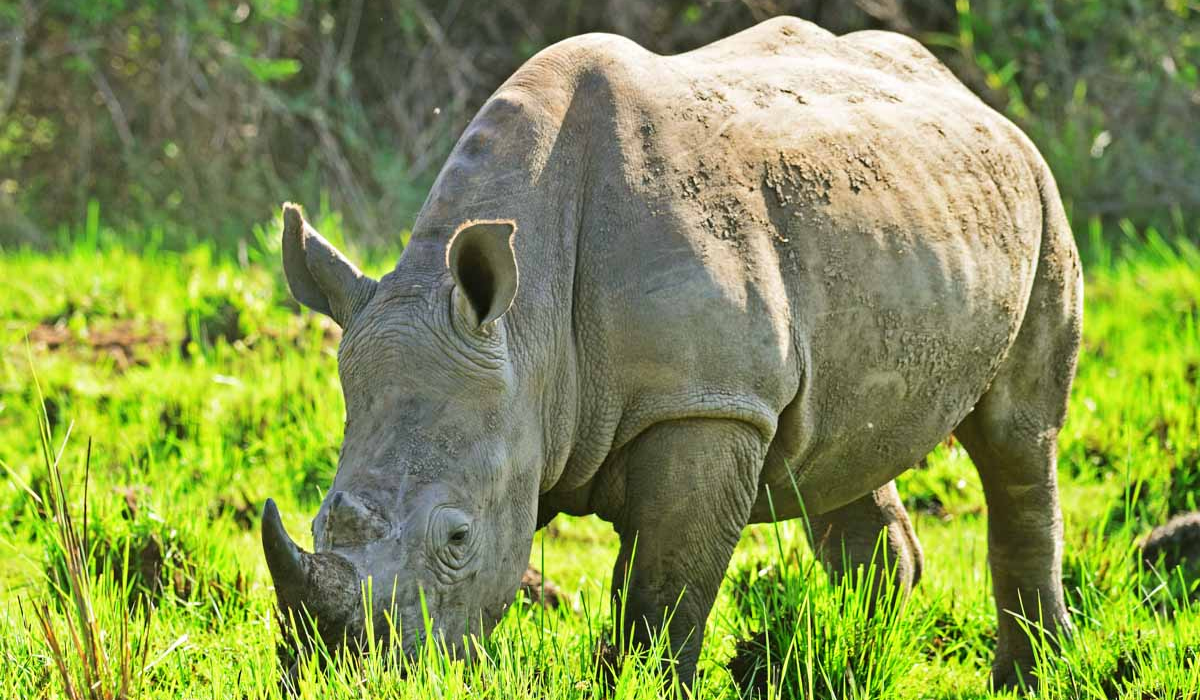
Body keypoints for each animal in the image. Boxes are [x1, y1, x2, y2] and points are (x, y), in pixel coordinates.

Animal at [262, 16, 1081, 688]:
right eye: (319, 523)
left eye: (458, 537)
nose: (345, 677)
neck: (525, 335)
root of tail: (968, 96)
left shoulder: (705, 404)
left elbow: (661, 594)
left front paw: (638, 681)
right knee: (844, 448)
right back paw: (861, 656)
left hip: (1042, 194)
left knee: (1016, 439)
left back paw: (1024, 675)